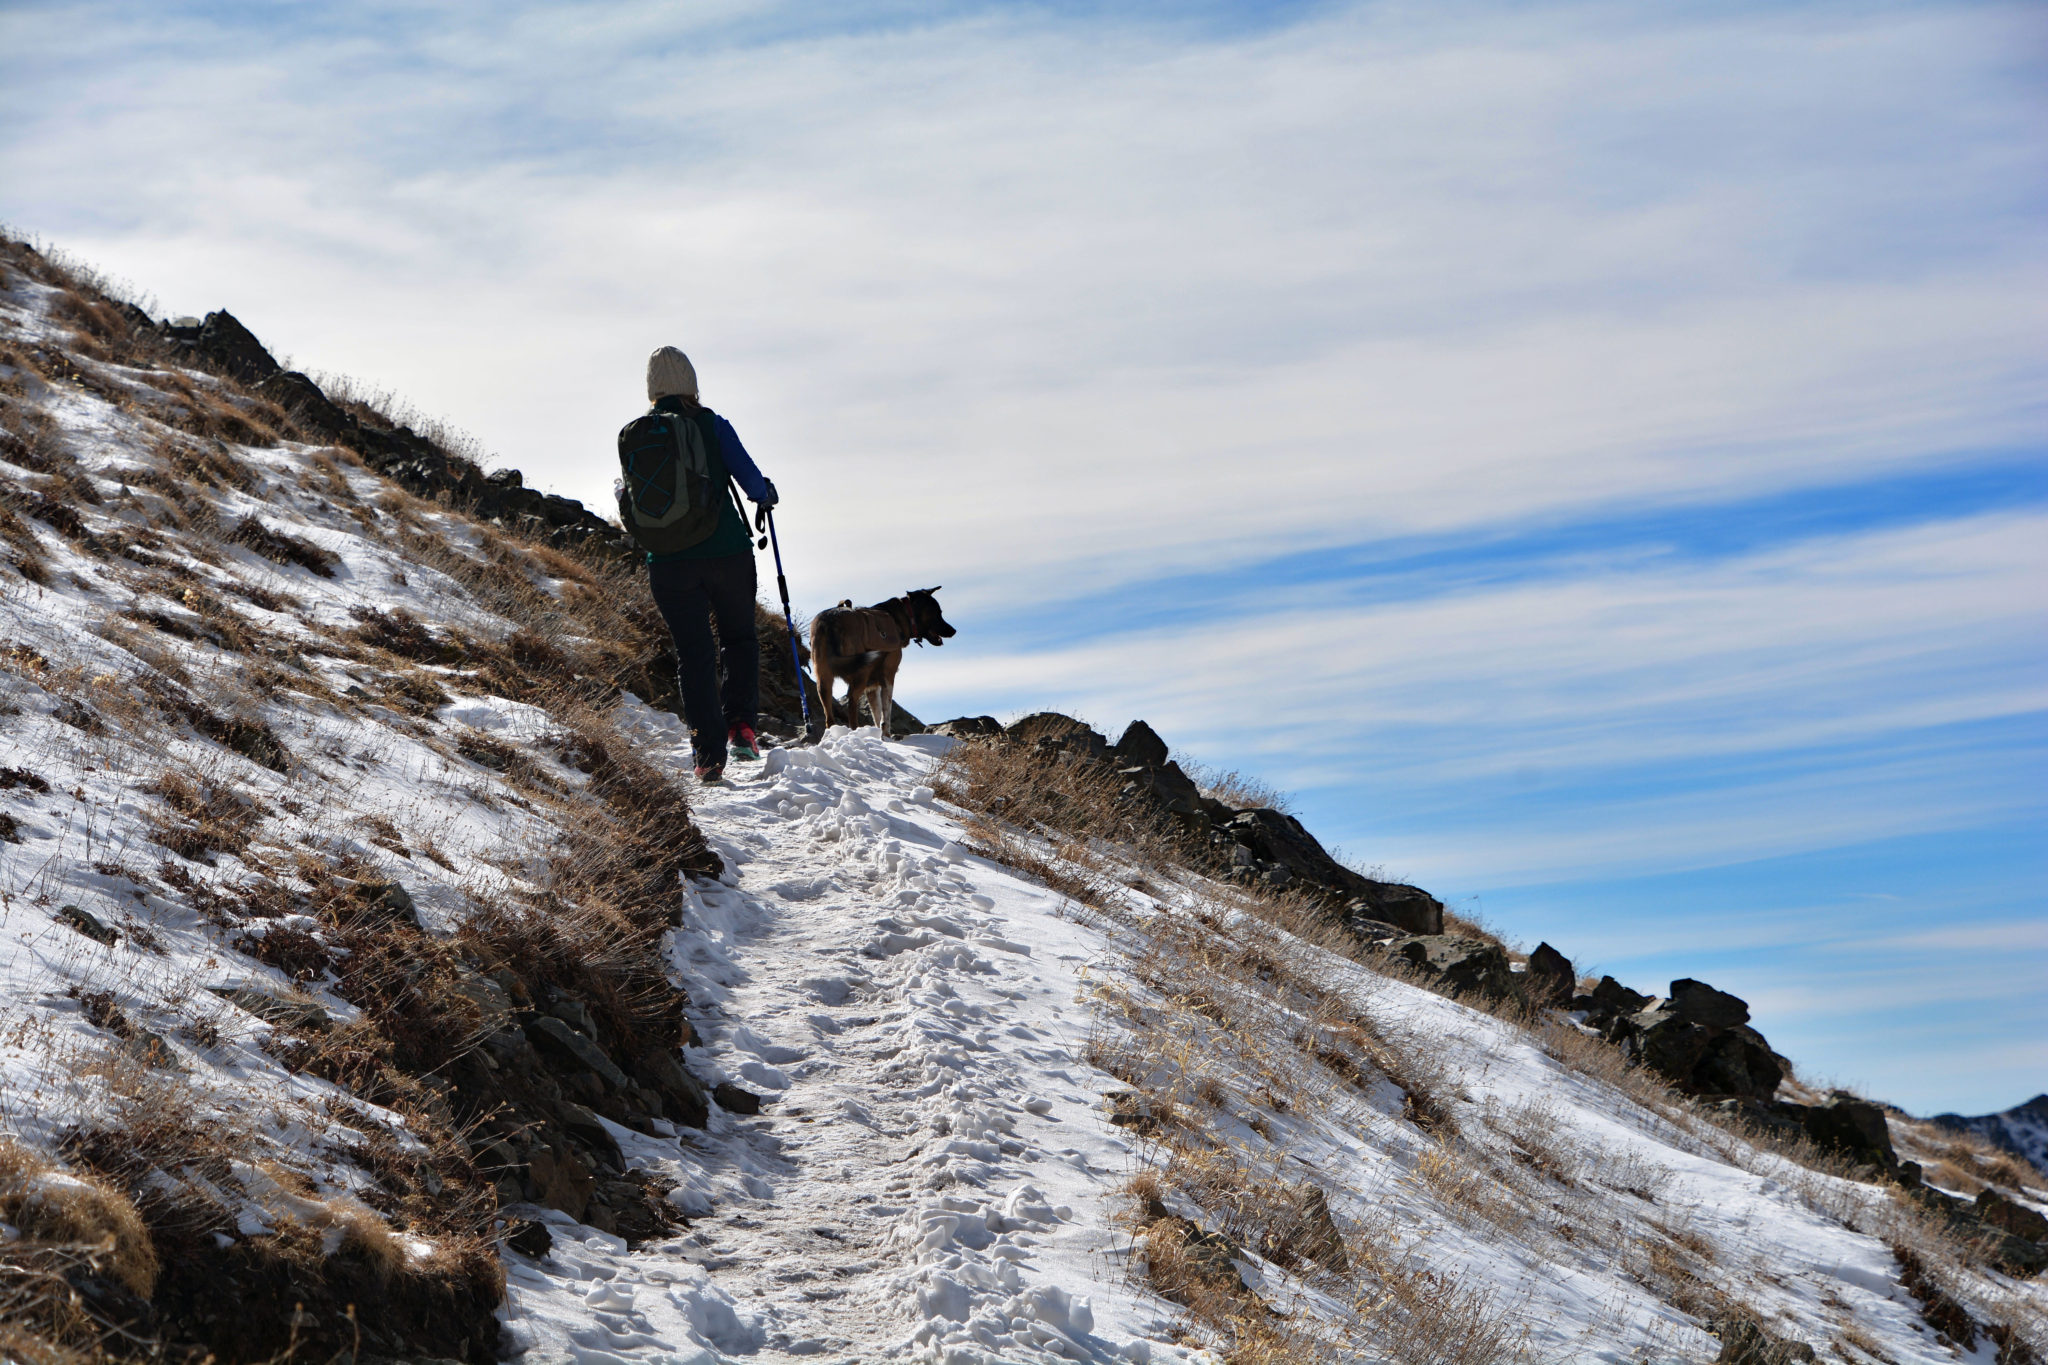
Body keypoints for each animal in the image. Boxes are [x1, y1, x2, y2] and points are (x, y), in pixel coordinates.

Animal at [802, 589, 954, 736]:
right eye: (937, 613)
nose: (954, 631)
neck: (902, 617)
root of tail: (831, 622)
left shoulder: (872, 686)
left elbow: (876, 714)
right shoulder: (888, 675)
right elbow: (886, 713)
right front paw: (886, 735)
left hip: (824, 679)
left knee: (829, 716)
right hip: (860, 674)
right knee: (852, 703)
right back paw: (855, 730)